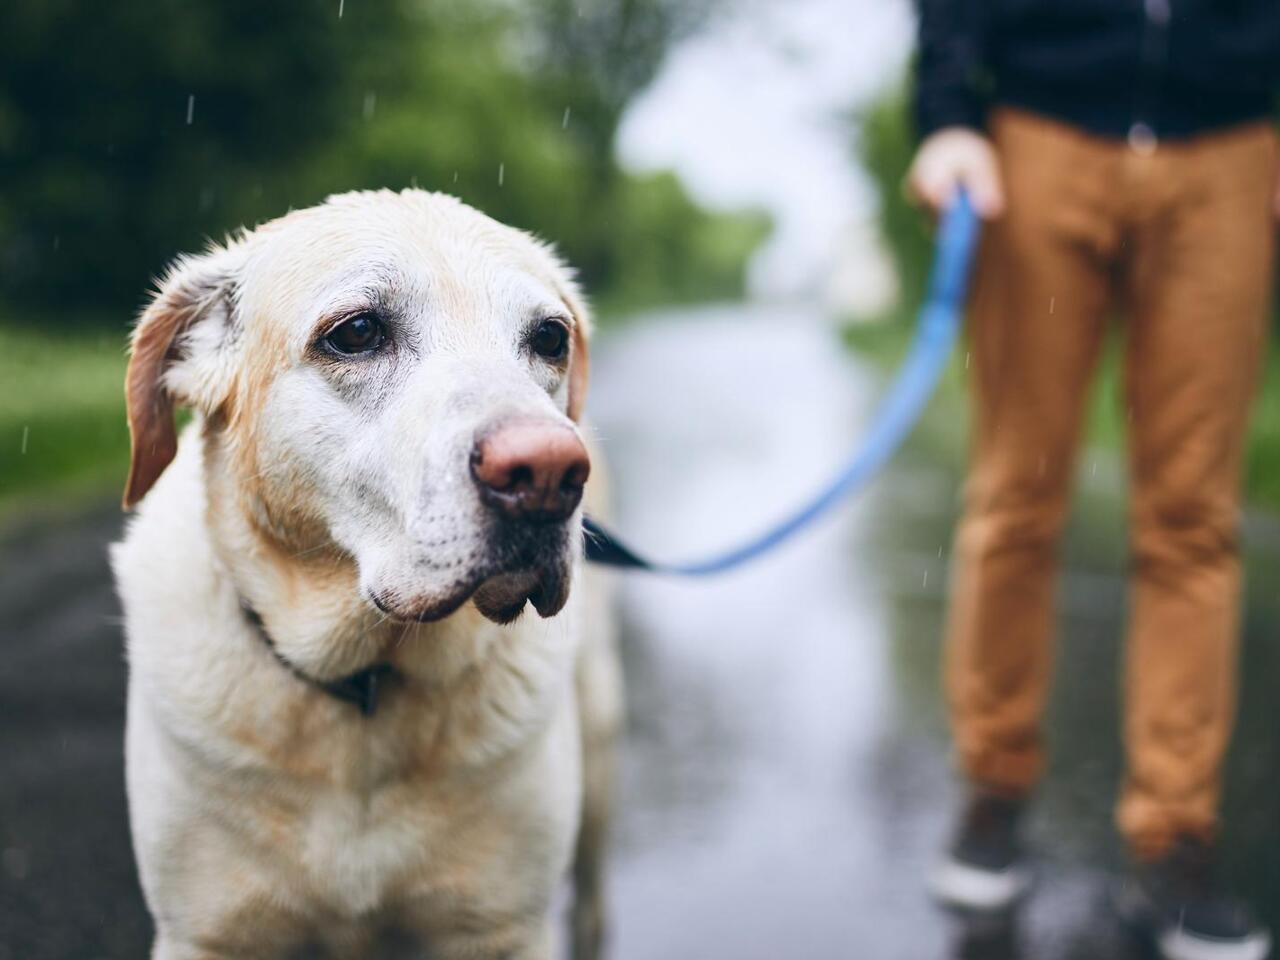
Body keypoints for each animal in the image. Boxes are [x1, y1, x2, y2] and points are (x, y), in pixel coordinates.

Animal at [112, 189, 622, 960]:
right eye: (356, 333)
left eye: (551, 339)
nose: (548, 472)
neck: (365, 686)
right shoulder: (205, 933)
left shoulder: (502, 930)